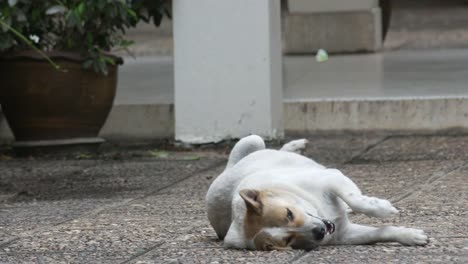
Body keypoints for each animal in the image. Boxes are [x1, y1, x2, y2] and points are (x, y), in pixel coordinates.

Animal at [207, 135, 430, 251]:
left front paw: (382, 209)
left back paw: (294, 146)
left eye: (289, 214)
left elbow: (356, 199)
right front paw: (409, 236)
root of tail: (229, 169)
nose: (319, 232)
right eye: (287, 241)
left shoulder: (332, 177)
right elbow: (381, 232)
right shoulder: (344, 234)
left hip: (253, 139)